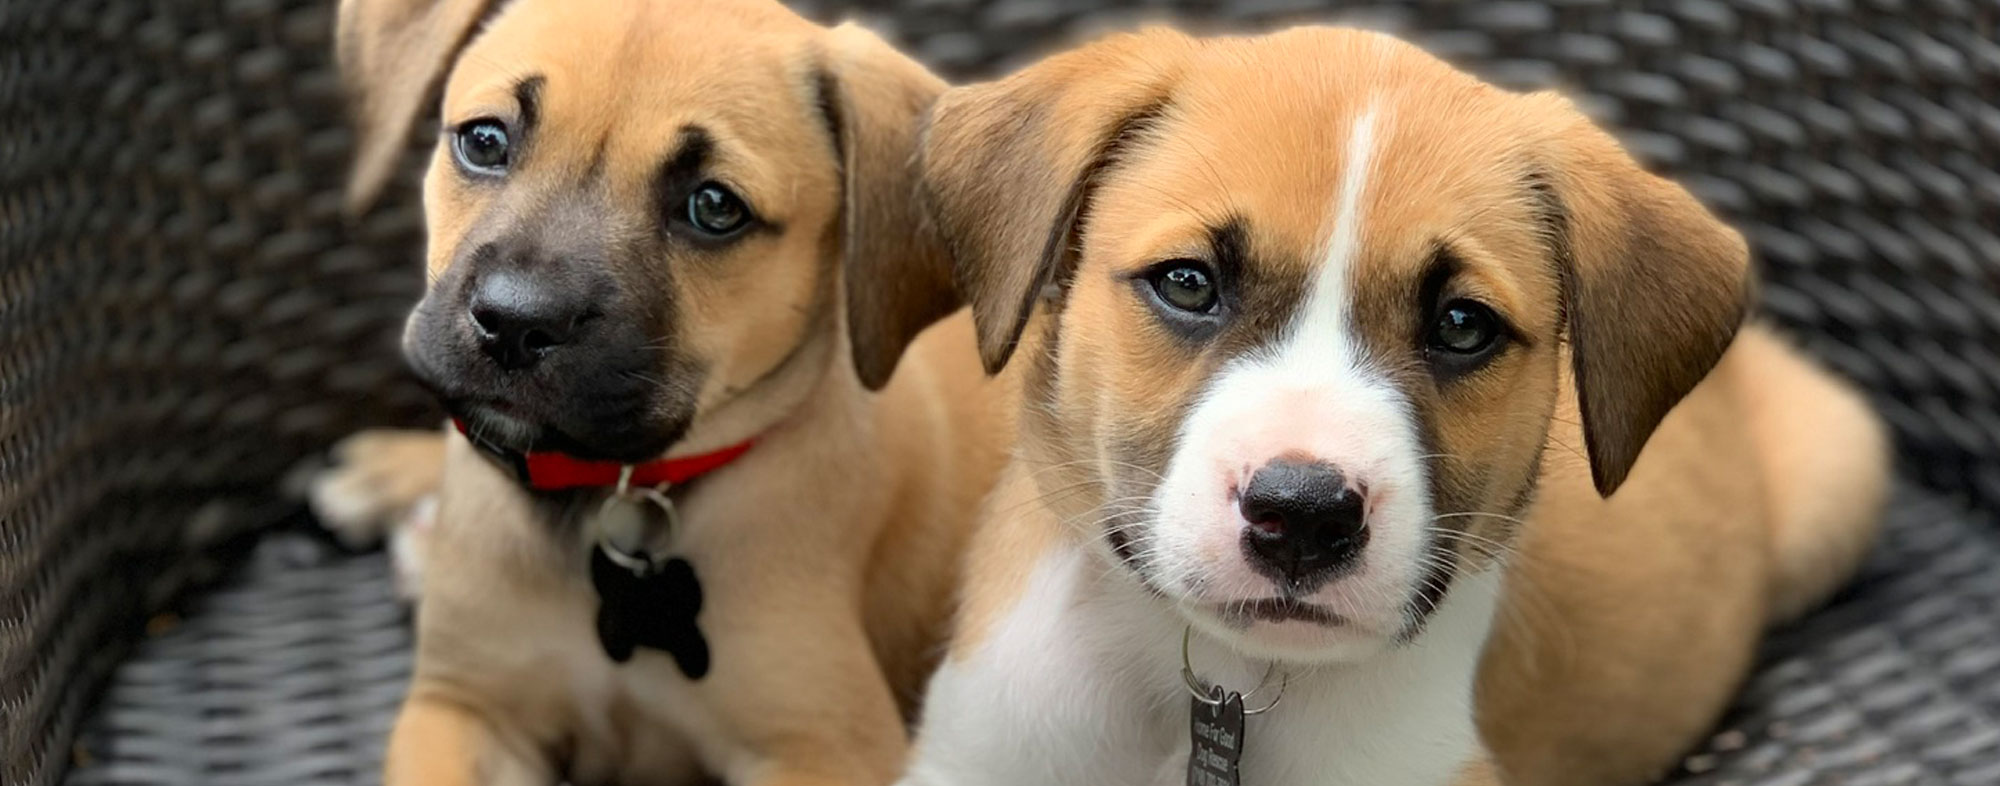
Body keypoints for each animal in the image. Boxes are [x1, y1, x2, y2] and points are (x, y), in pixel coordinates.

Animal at [322, 1, 1016, 784]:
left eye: (714, 207)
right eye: (484, 141)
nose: (516, 324)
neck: (611, 498)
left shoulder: (826, 744)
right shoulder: (463, 705)